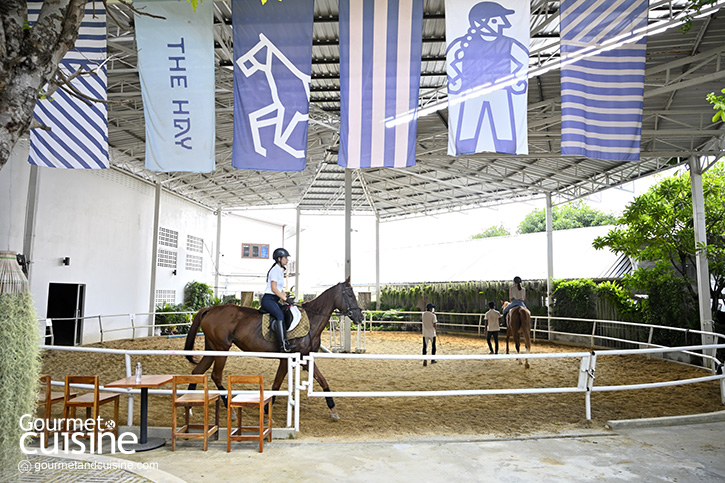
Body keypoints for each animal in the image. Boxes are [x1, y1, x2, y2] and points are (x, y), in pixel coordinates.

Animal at [181, 280, 362, 420]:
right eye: (350, 295)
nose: (360, 317)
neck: (311, 320)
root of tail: (210, 309)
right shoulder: (287, 358)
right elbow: (276, 384)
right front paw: (268, 411)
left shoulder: (304, 358)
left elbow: (323, 380)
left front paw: (333, 409)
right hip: (221, 350)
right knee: (215, 376)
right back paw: (229, 410)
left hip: (212, 349)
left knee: (197, 372)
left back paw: (189, 406)